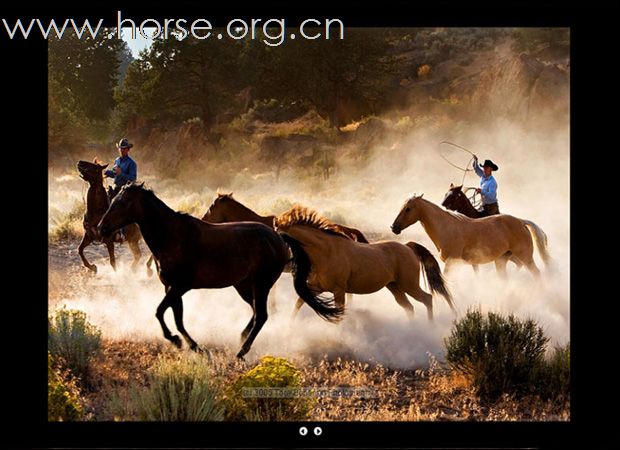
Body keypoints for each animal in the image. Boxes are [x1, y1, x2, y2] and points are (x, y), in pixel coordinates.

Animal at [98, 183, 344, 358]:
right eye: (113, 200)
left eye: (121, 203)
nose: (101, 228)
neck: (172, 236)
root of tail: (278, 237)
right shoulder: (172, 288)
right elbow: (177, 318)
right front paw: (193, 346)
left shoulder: (180, 286)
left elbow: (160, 312)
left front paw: (176, 340)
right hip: (244, 286)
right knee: (256, 313)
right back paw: (241, 338)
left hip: (261, 284)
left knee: (262, 315)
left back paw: (242, 351)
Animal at [274, 206, 452, 322]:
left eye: (281, 239)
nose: (282, 264)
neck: (327, 252)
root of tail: (408, 247)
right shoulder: (316, 287)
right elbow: (298, 304)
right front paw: (289, 327)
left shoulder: (339, 290)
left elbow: (339, 315)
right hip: (394, 286)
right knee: (409, 307)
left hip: (409, 285)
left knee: (427, 299)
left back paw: (429, 327)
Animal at [390, 194, 548, 276]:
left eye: (408, 209)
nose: (394, 227)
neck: (446, 228)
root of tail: (521, 222)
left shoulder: (452, 263)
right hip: (502, 260)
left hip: (525, 257)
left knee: (536, 273)